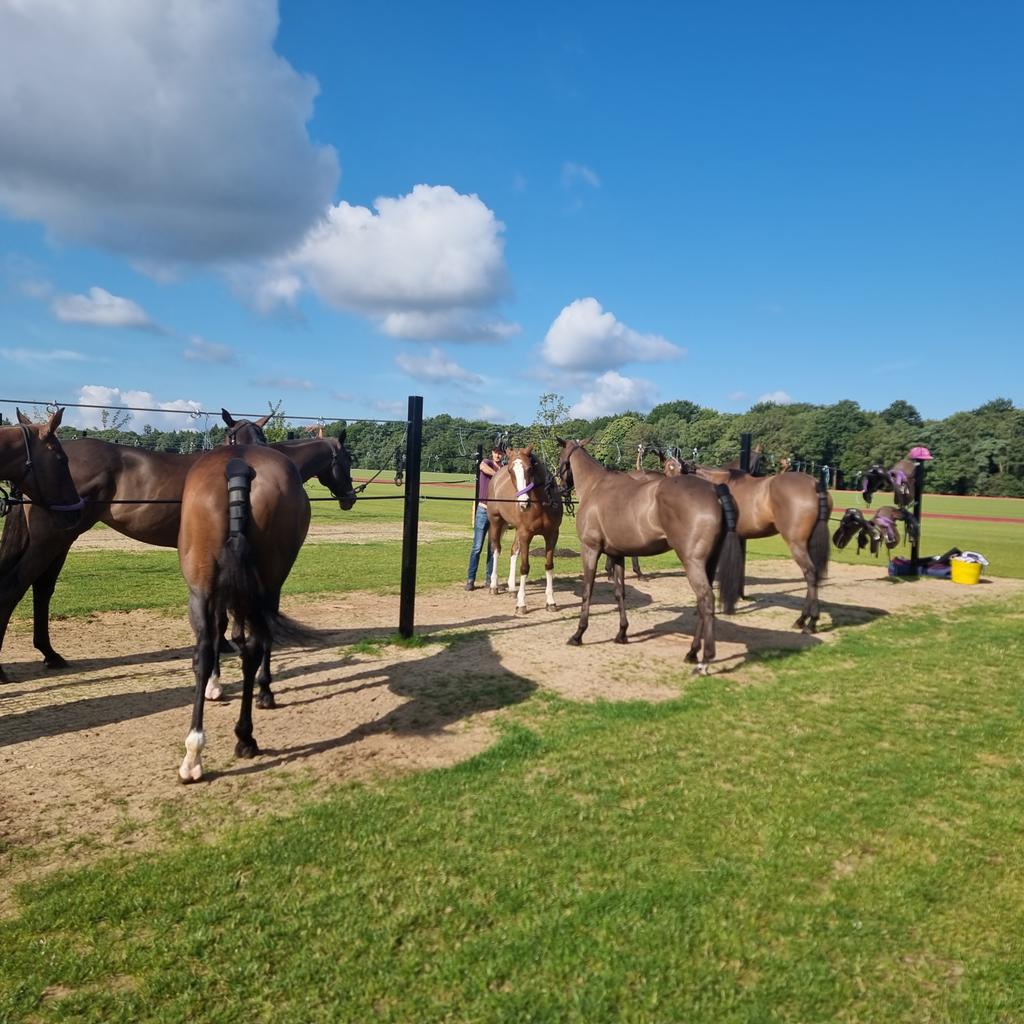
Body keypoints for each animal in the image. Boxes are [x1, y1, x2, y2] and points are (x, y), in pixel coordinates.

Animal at [0, 414, 356, 683]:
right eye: (348, 460)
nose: (350, 497)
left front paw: (227, 642)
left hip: (61, 538)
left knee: (42, 589)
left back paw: (50, 654)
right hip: (51, 540)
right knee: (16, 586)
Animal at [177, 445, 312, 782]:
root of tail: (238, 464)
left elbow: (223, 631)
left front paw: (215, 684)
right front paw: (266, 691)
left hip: (199, 589)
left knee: (203, 652)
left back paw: (194, 753)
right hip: (267, 586)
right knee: (253, 648)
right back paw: (245, 736)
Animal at [486, 446, 563, 615]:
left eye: (529, 469)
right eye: (511, 471)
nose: (523, 503)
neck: (541, 505)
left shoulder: (552, 535)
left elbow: (549, 565)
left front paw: (551, 602)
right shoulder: (525, 535)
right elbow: (524, 567)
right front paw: (521, 605)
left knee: (513, 551)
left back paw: (512, 589)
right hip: (496, 522)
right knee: (496, 549)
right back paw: (494, 586)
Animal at [556, 439, 742, 672]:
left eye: (559, 459)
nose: (560, 487)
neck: (595, 486)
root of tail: (715, 489)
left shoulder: (590, 549)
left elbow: (587, 592)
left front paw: (578, 634)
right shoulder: (617, 554)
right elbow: (619, 593)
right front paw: (622, 633)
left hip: (693, 563)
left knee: (706, 601)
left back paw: (704, 660)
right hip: (709, 563)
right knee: (702, 604)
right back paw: (692, 652)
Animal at [683, 463, 832, 633]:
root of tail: (815, 484)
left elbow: (710, 573)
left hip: (797, 544)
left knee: (810, 574)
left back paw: (810, 622)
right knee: (813, 576)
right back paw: (802, 620)